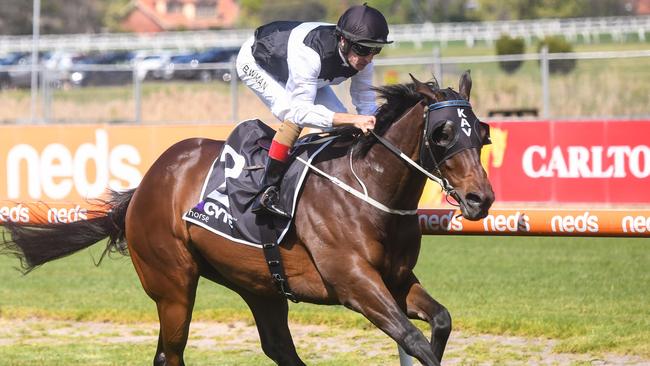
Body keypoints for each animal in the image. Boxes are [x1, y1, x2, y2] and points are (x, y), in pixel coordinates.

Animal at [0, 72, 492, 366]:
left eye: (483, 134)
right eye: (443, 133)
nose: (480, 198)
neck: (369, 188)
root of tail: (145, 186)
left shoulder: (395, 279)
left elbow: (440, 322)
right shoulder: (354, 283)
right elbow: (414, 341)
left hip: (260, 286)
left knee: (277, 347)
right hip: (173, 286)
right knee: (171, 354)